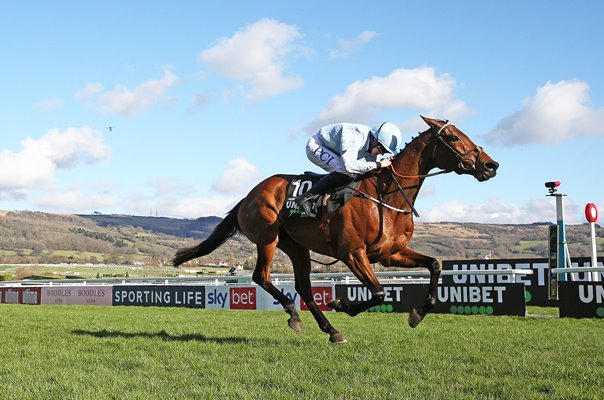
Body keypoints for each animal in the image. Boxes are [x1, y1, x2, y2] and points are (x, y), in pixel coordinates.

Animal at [172, 115, 498, 344]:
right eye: (454, 137)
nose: (490, 165)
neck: (386, 194)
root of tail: (249, 195)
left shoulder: (390, 253)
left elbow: (434, 265)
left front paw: (417, 314)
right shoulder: (353, 253)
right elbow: (379, 293)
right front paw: (341, 303)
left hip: (296, 246)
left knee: (303, 286)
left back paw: (328, 329)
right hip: (267, 238)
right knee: (261, 277)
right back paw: (295, 315)